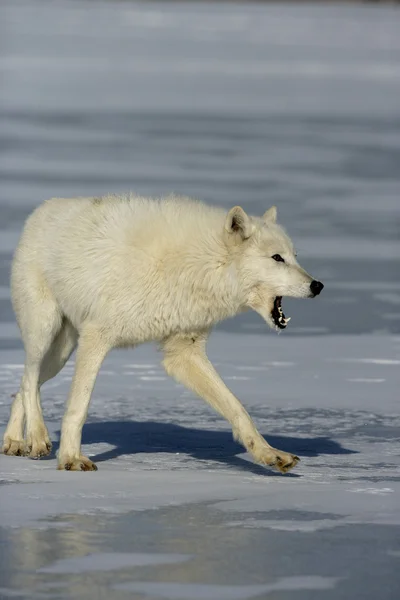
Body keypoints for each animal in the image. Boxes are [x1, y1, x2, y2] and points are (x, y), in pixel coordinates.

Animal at [2, 196, 322, 474]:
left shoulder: (184, 352)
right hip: (46, 331)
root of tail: (43, 208)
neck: (200, 265)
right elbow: (78, 407)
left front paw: (271, 455)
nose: (317, 285)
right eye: (277, 258)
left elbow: (237, 409)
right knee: (29, 378)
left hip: (62, 352)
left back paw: (15, 441)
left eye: (295, 257)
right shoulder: (97, 336)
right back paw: (37, 438)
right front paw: (70, 459)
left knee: (24, 383)